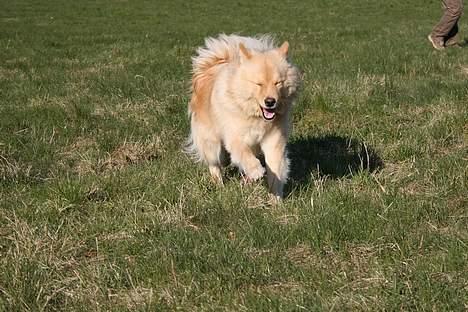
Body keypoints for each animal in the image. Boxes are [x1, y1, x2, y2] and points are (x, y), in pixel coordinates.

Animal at [186, 34, 300, 200]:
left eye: (278, 83)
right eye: (259, 84)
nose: (270, 101)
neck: (255, 116)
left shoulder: (274, 140)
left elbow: (275, 169)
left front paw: (275, 199)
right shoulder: (235, 137)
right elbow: (244, 154)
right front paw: (256, 171)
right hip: (211, 141)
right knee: (215, 162)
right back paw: (219, 184)